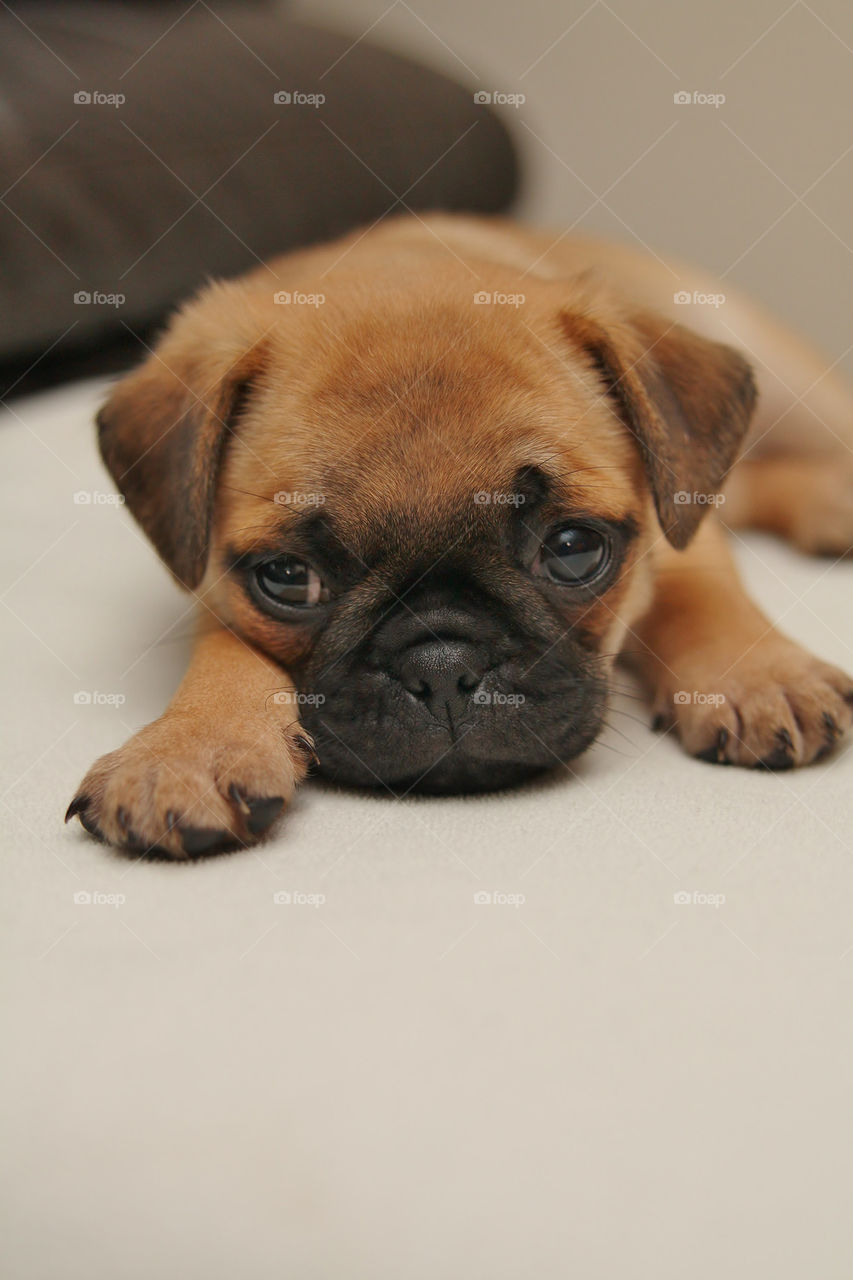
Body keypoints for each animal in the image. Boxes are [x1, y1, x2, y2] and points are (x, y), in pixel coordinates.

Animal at [64, 217, 850, 860]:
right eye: (288, 578)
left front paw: (759, 675)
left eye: (573, 550)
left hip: (791, 382)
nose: (442, 665)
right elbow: (225, 649)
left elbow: (702, 591)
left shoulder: (679, 518)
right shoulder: (214, 587)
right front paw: (189, 746)